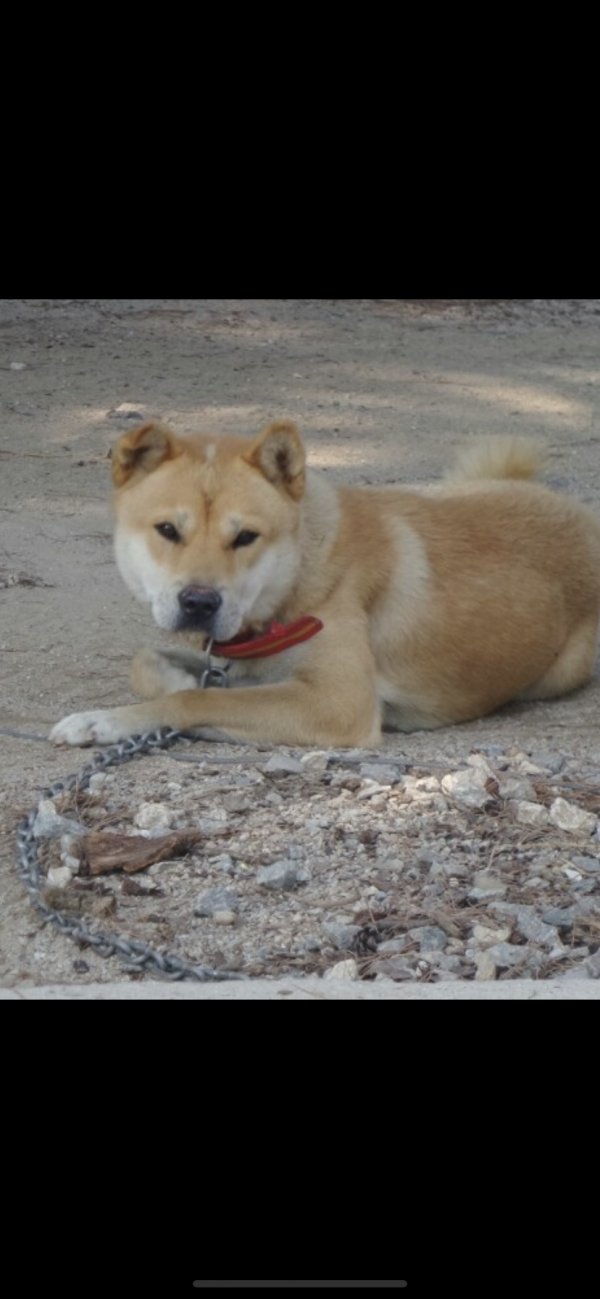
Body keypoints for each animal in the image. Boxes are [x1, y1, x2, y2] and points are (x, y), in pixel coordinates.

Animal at [50, 420, 600, 748]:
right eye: (168, 530)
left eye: (245, 537)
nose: (200, 602)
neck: (294, 579)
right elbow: (149, 664)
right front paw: (172, 682)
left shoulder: (337, 702)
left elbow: (199, 700)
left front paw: (110, 719)